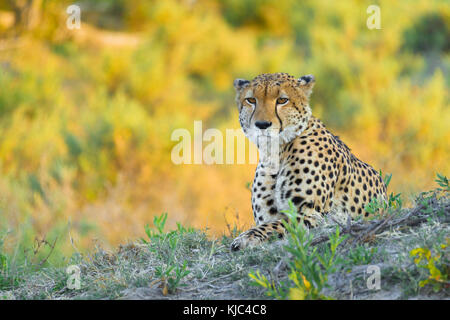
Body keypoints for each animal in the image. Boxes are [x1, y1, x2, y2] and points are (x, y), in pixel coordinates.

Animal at [232, 72, 386, 250]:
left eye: (282, 100)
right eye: (251, 100)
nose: (262, 124)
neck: (277, 153)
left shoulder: (316, 216)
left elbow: (279, 224)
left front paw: (246, 237)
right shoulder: (269, 215)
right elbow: (272, 222)